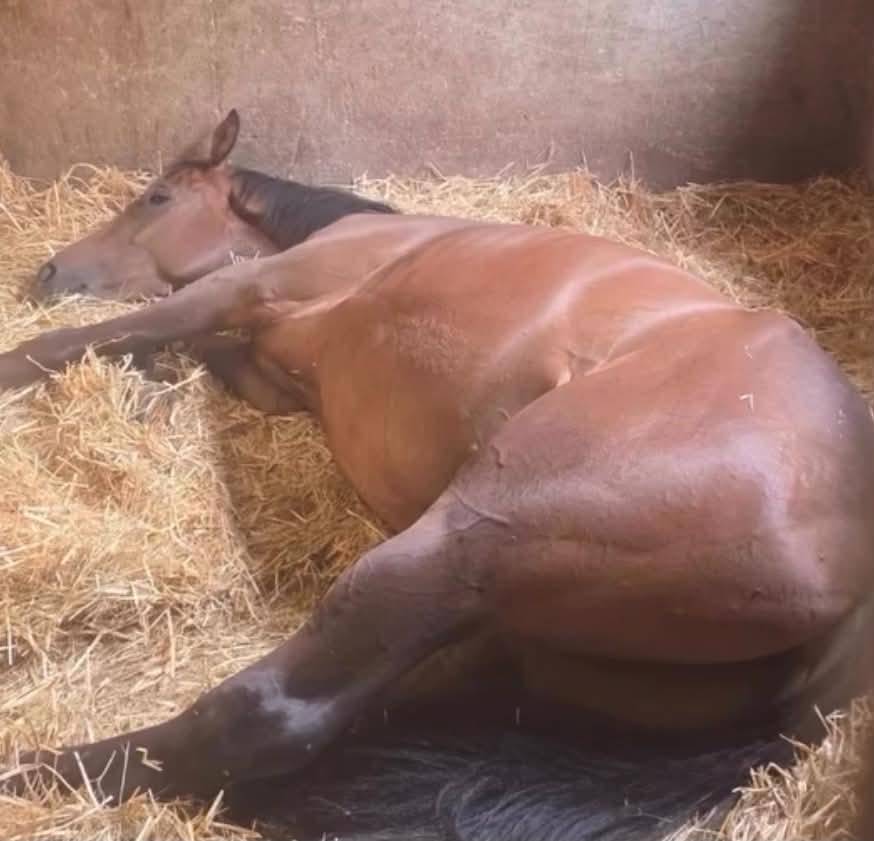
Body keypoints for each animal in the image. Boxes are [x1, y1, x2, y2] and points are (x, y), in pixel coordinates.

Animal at [4, 110, 874, 841]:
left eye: (155, 197)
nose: (47, 272)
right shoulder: (268, 368)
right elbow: (182, 346)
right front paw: (147, 382)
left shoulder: (243, 287)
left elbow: (94, 336)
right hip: (505, 629)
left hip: (464, 542)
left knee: (267, 715)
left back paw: (33, 770)